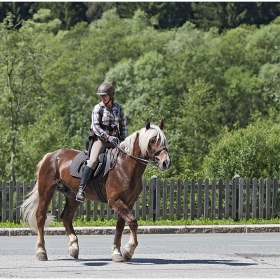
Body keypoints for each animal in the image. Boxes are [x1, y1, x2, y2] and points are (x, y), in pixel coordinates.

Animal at [20, 118, 171, 262]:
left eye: (164, 140)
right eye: (152, 140)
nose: (166, 162)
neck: (125, 166)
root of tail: (50, 155)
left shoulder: (127, 203)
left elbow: (120, 227)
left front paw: (117, 253)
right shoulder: (115, 201)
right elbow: (133, 222)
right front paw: (129, 250)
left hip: (72, 196)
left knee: (66, 217)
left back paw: (74, 247)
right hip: (46, 192)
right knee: (40, 217)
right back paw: (41, 251)